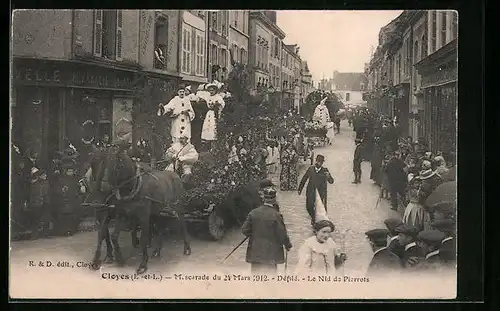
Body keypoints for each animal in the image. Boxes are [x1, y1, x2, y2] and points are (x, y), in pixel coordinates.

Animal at [91, 145, 192, 274]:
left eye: (116, 166)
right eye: (96, 164)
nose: (103, 188)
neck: (132, 187)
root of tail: (174, 174)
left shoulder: (143, 216)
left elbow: (144, 238)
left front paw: (143, 264)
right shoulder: (122, 214)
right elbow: (112, 236)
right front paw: (119, 259)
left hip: (177, 206)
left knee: (182, 223)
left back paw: (187, 248)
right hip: (158, 210)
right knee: (161, 226)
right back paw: (157, 250)